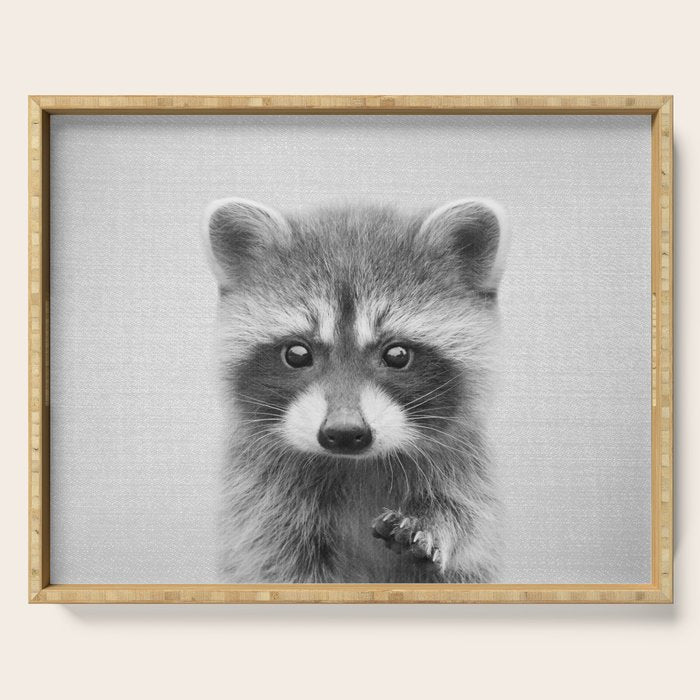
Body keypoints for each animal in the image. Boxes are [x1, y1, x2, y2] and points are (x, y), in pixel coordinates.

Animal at [202, 197, 509, 583]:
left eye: (397, 354)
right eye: (297, 353)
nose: (345, 433)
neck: (356, 464)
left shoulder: (465, 469)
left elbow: (467, 520)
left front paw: (435, 525)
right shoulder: (259, 500)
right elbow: (276, 561)